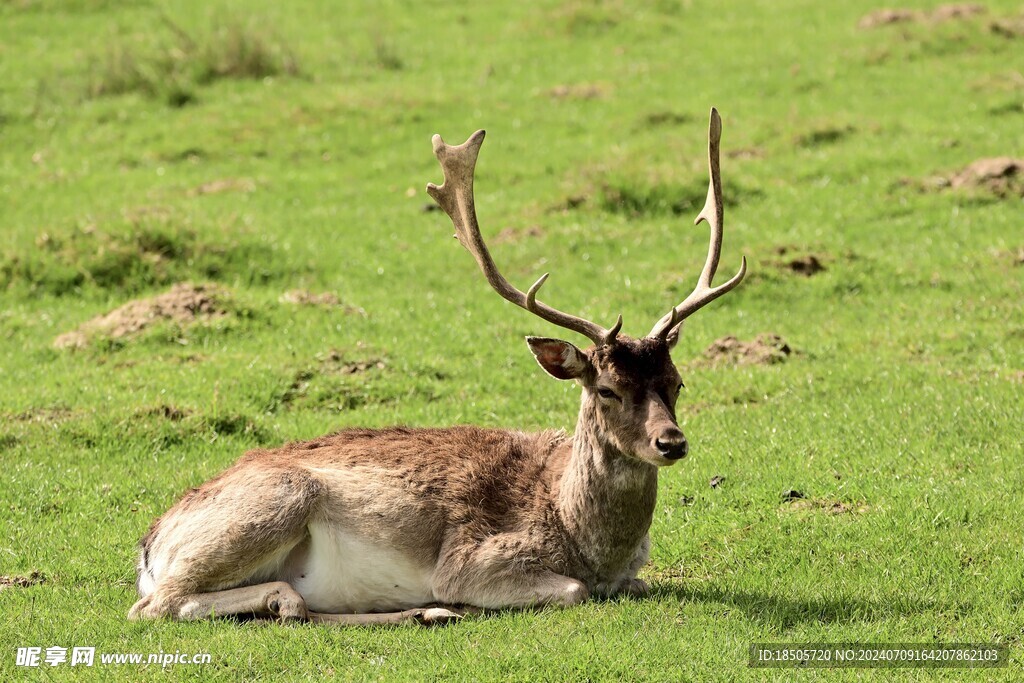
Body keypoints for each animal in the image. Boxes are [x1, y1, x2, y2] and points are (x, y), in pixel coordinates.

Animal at [132, 109, 749, 626]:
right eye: (606, 389)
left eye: (677, 382)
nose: (671, 442)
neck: (584, 540)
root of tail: (150, 545)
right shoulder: (472, 559)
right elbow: (572, 590)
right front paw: (467, 600)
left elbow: (639, 584)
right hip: (273, 504)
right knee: (159, 605)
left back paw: (419, 613)